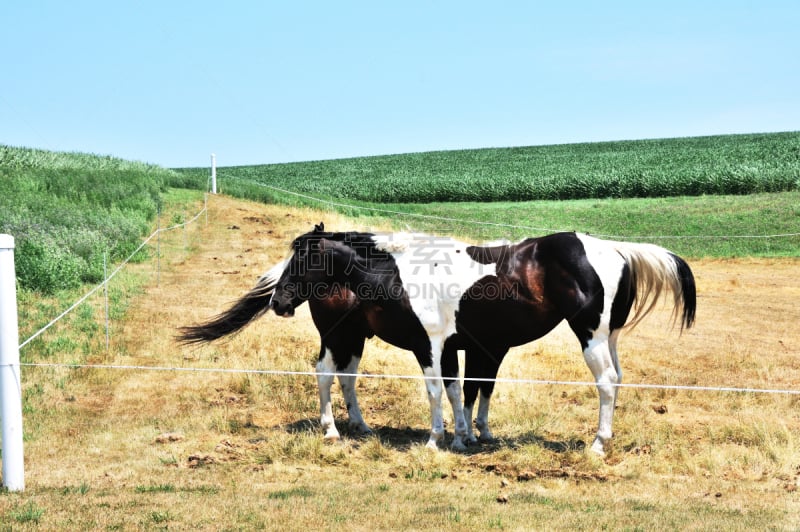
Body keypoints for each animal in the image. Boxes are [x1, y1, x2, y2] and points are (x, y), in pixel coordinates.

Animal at [180, 222, 692, 456]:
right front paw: (462, 437)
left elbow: (441, 390)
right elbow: (458, 390)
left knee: (607, 383)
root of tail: (616, 250)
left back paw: (599, 443)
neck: (396, 272)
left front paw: (437, 438)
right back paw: (347, 428)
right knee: (338, 377)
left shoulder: (433, 345)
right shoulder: (452, 346)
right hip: (347, 337)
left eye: (303, 259)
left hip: (592, 337)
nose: (280, 301)